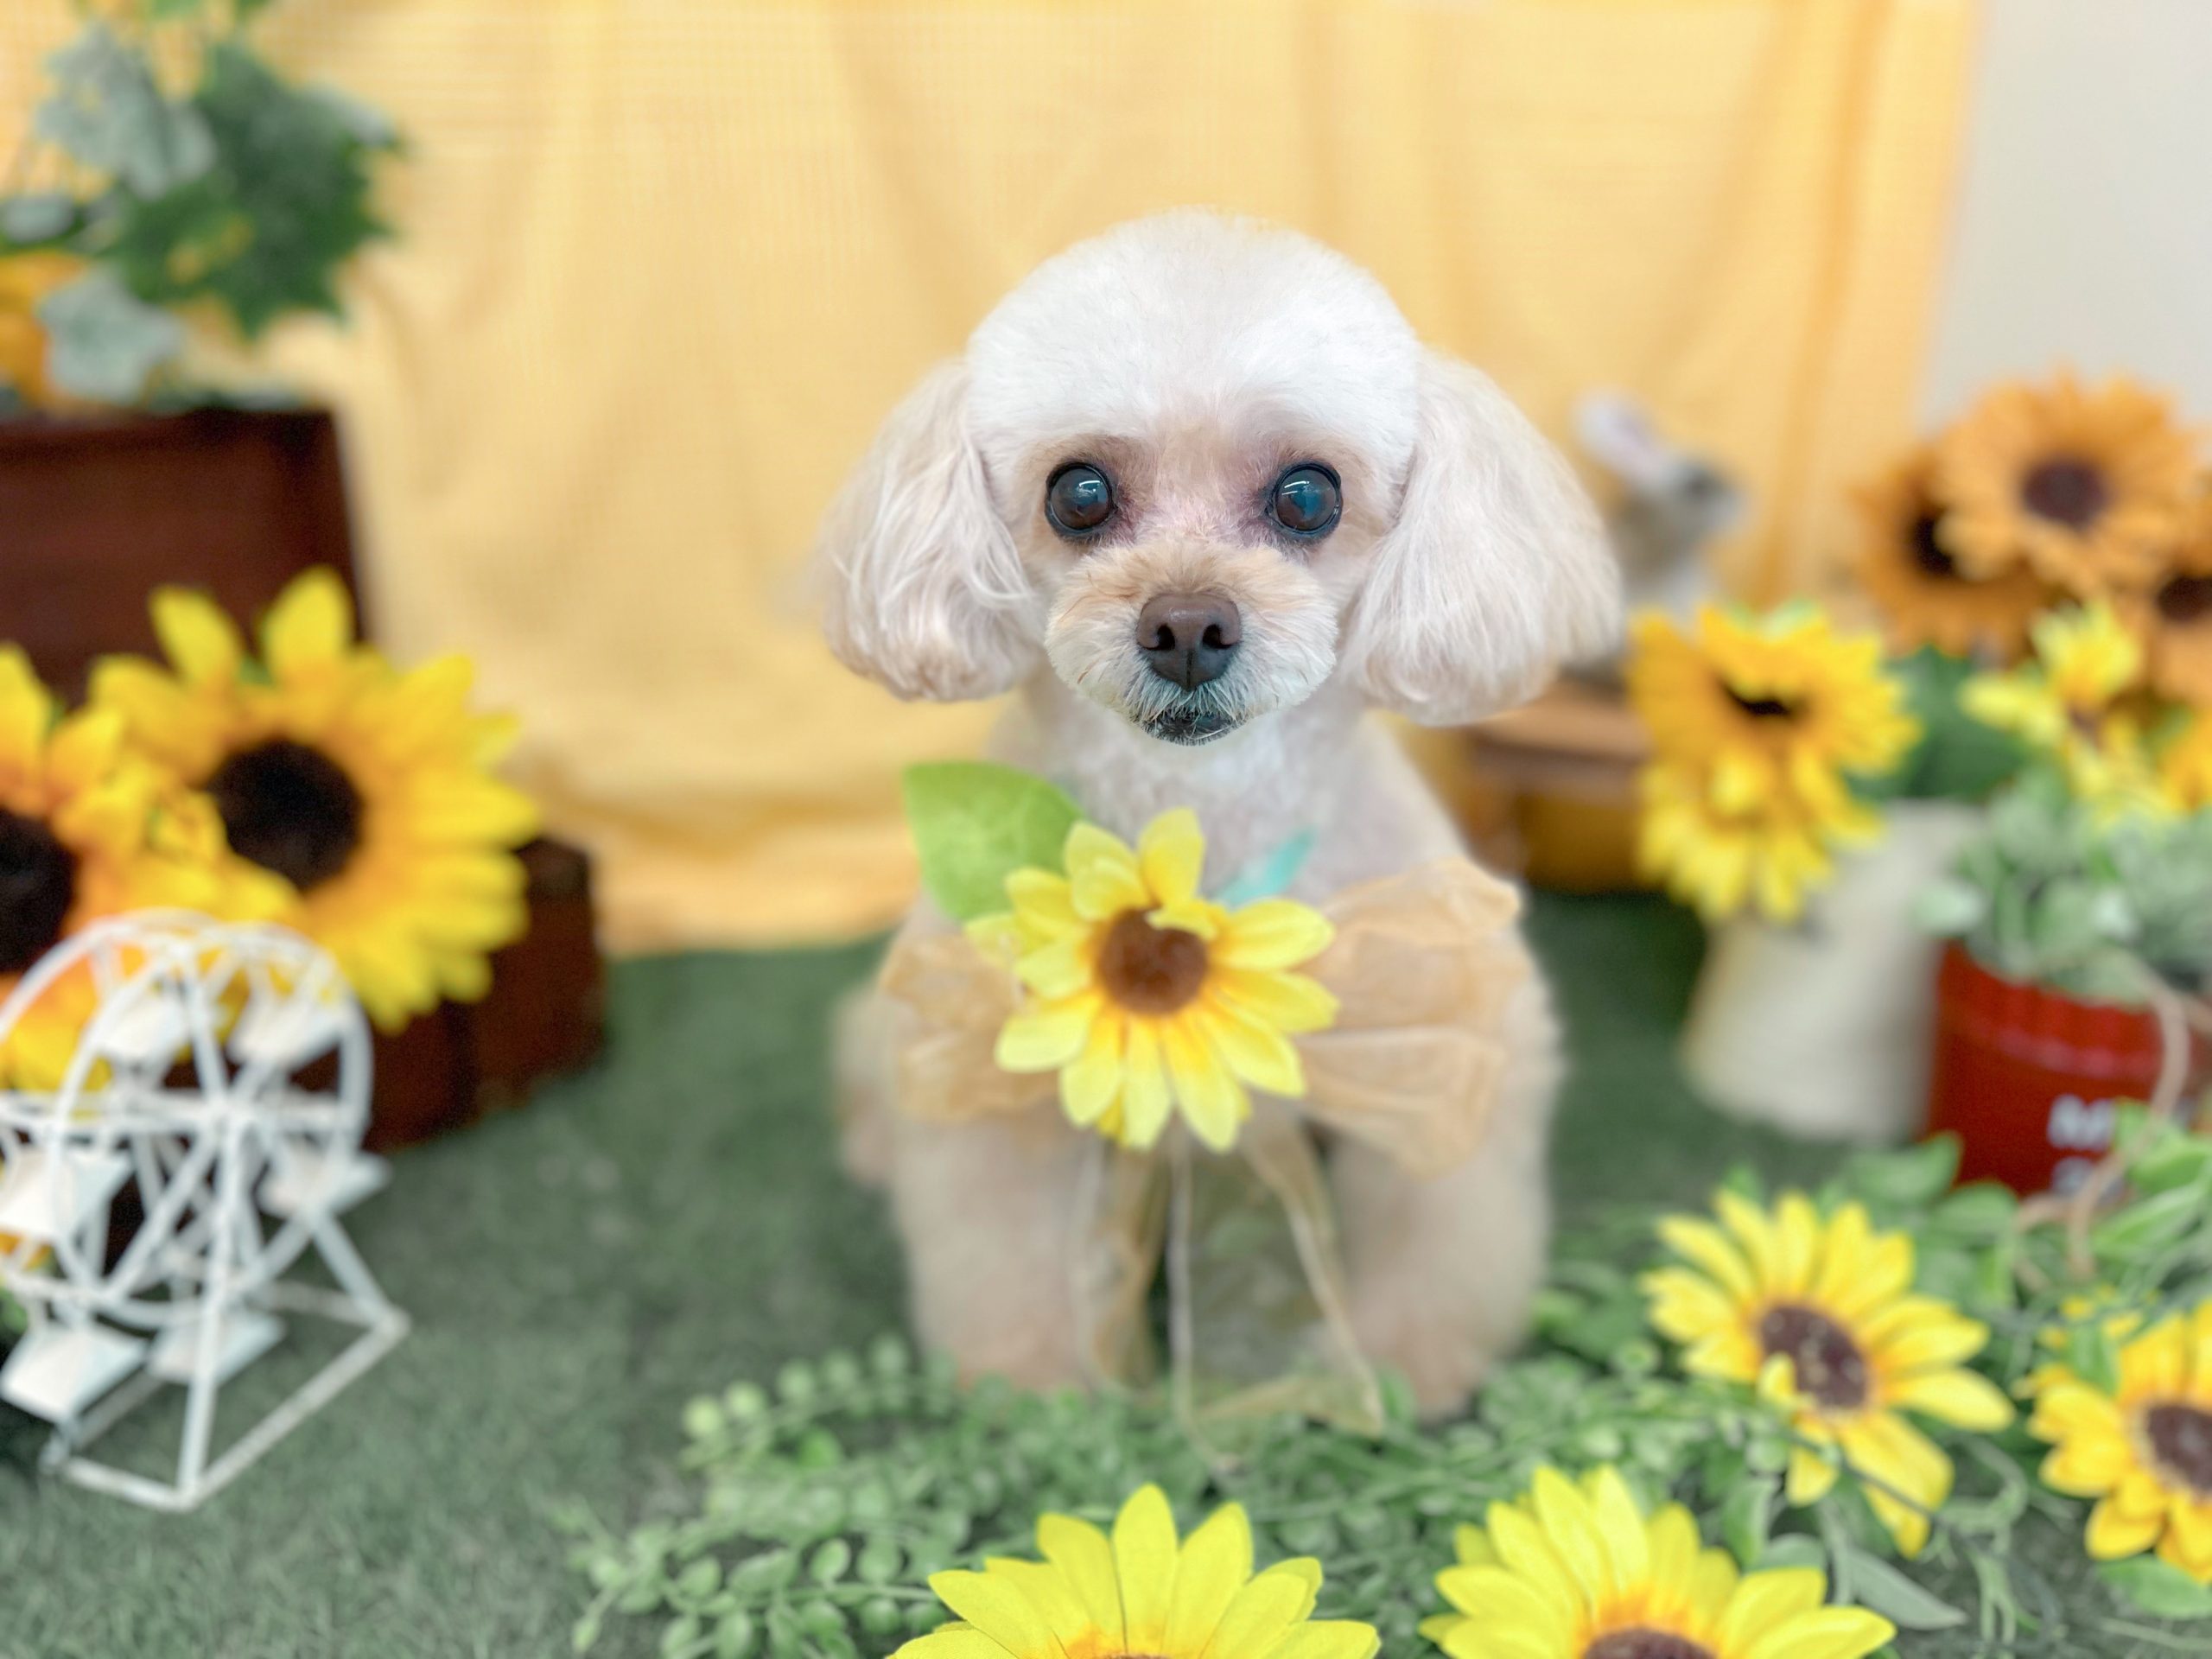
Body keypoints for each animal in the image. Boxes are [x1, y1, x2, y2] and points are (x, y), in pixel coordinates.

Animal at [817, 211, 1619, 1415]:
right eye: (1079, 493)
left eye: (1307, 496)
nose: (1187, 626)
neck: (1201, 826)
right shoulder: (993, 1075)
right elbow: (1004, 1252)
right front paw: (1034, 1385)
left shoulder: (1436, 1051)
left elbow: (1436, 1230)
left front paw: (1403, 1364)